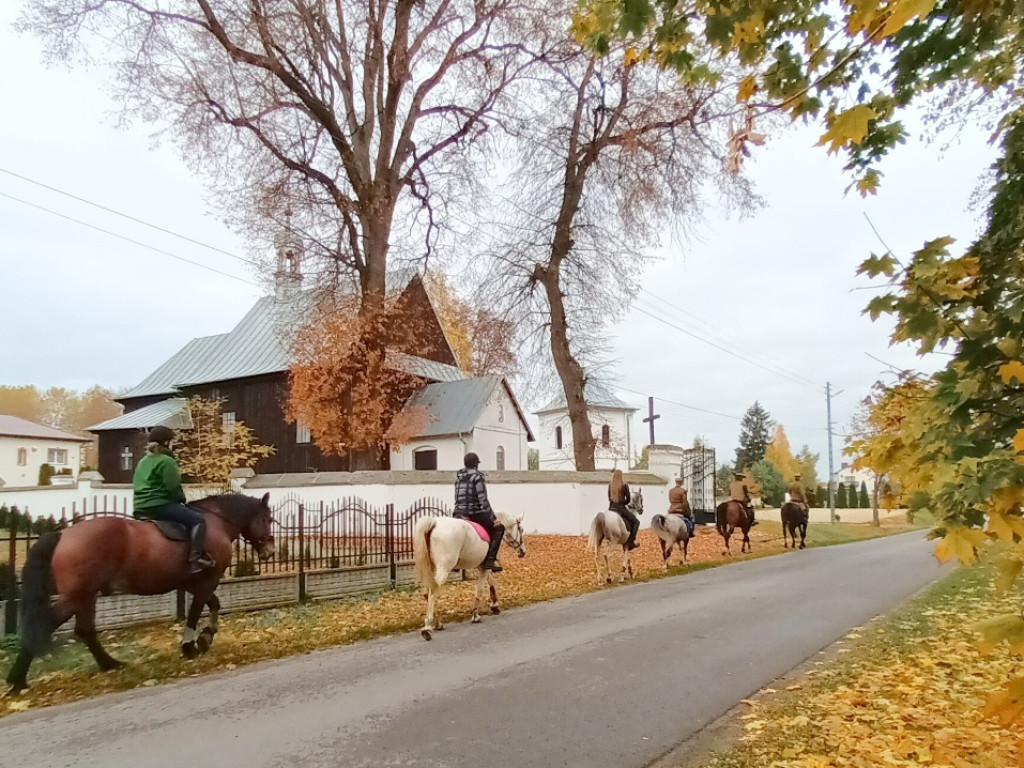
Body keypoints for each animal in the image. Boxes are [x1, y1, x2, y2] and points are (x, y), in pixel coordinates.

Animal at [4, 493, 274, 696]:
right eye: (266, 518)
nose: (270, 551)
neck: (215, 522)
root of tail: (62, 534)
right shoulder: (206, 580)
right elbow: (198, 611)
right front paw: (193, 644)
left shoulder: (194, 583)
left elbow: (213, 604)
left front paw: (205, 637)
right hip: (77, 595)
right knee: (50, 624)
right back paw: (18, 679)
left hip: (86, 595)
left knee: (84, 629)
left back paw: (109, 664)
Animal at [409, 512, 524, 643]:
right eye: (521, 529)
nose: (523, 552)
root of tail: (433, 523)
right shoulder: (485, 567)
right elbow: (480, 589)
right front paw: (475, 615)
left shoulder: (482, 566)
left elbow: (491, 582)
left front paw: (495, 605)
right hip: (443, 568)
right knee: (433, 592)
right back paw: (428, 628)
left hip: (431, 568)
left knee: (426, 592)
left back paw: (437, 623)